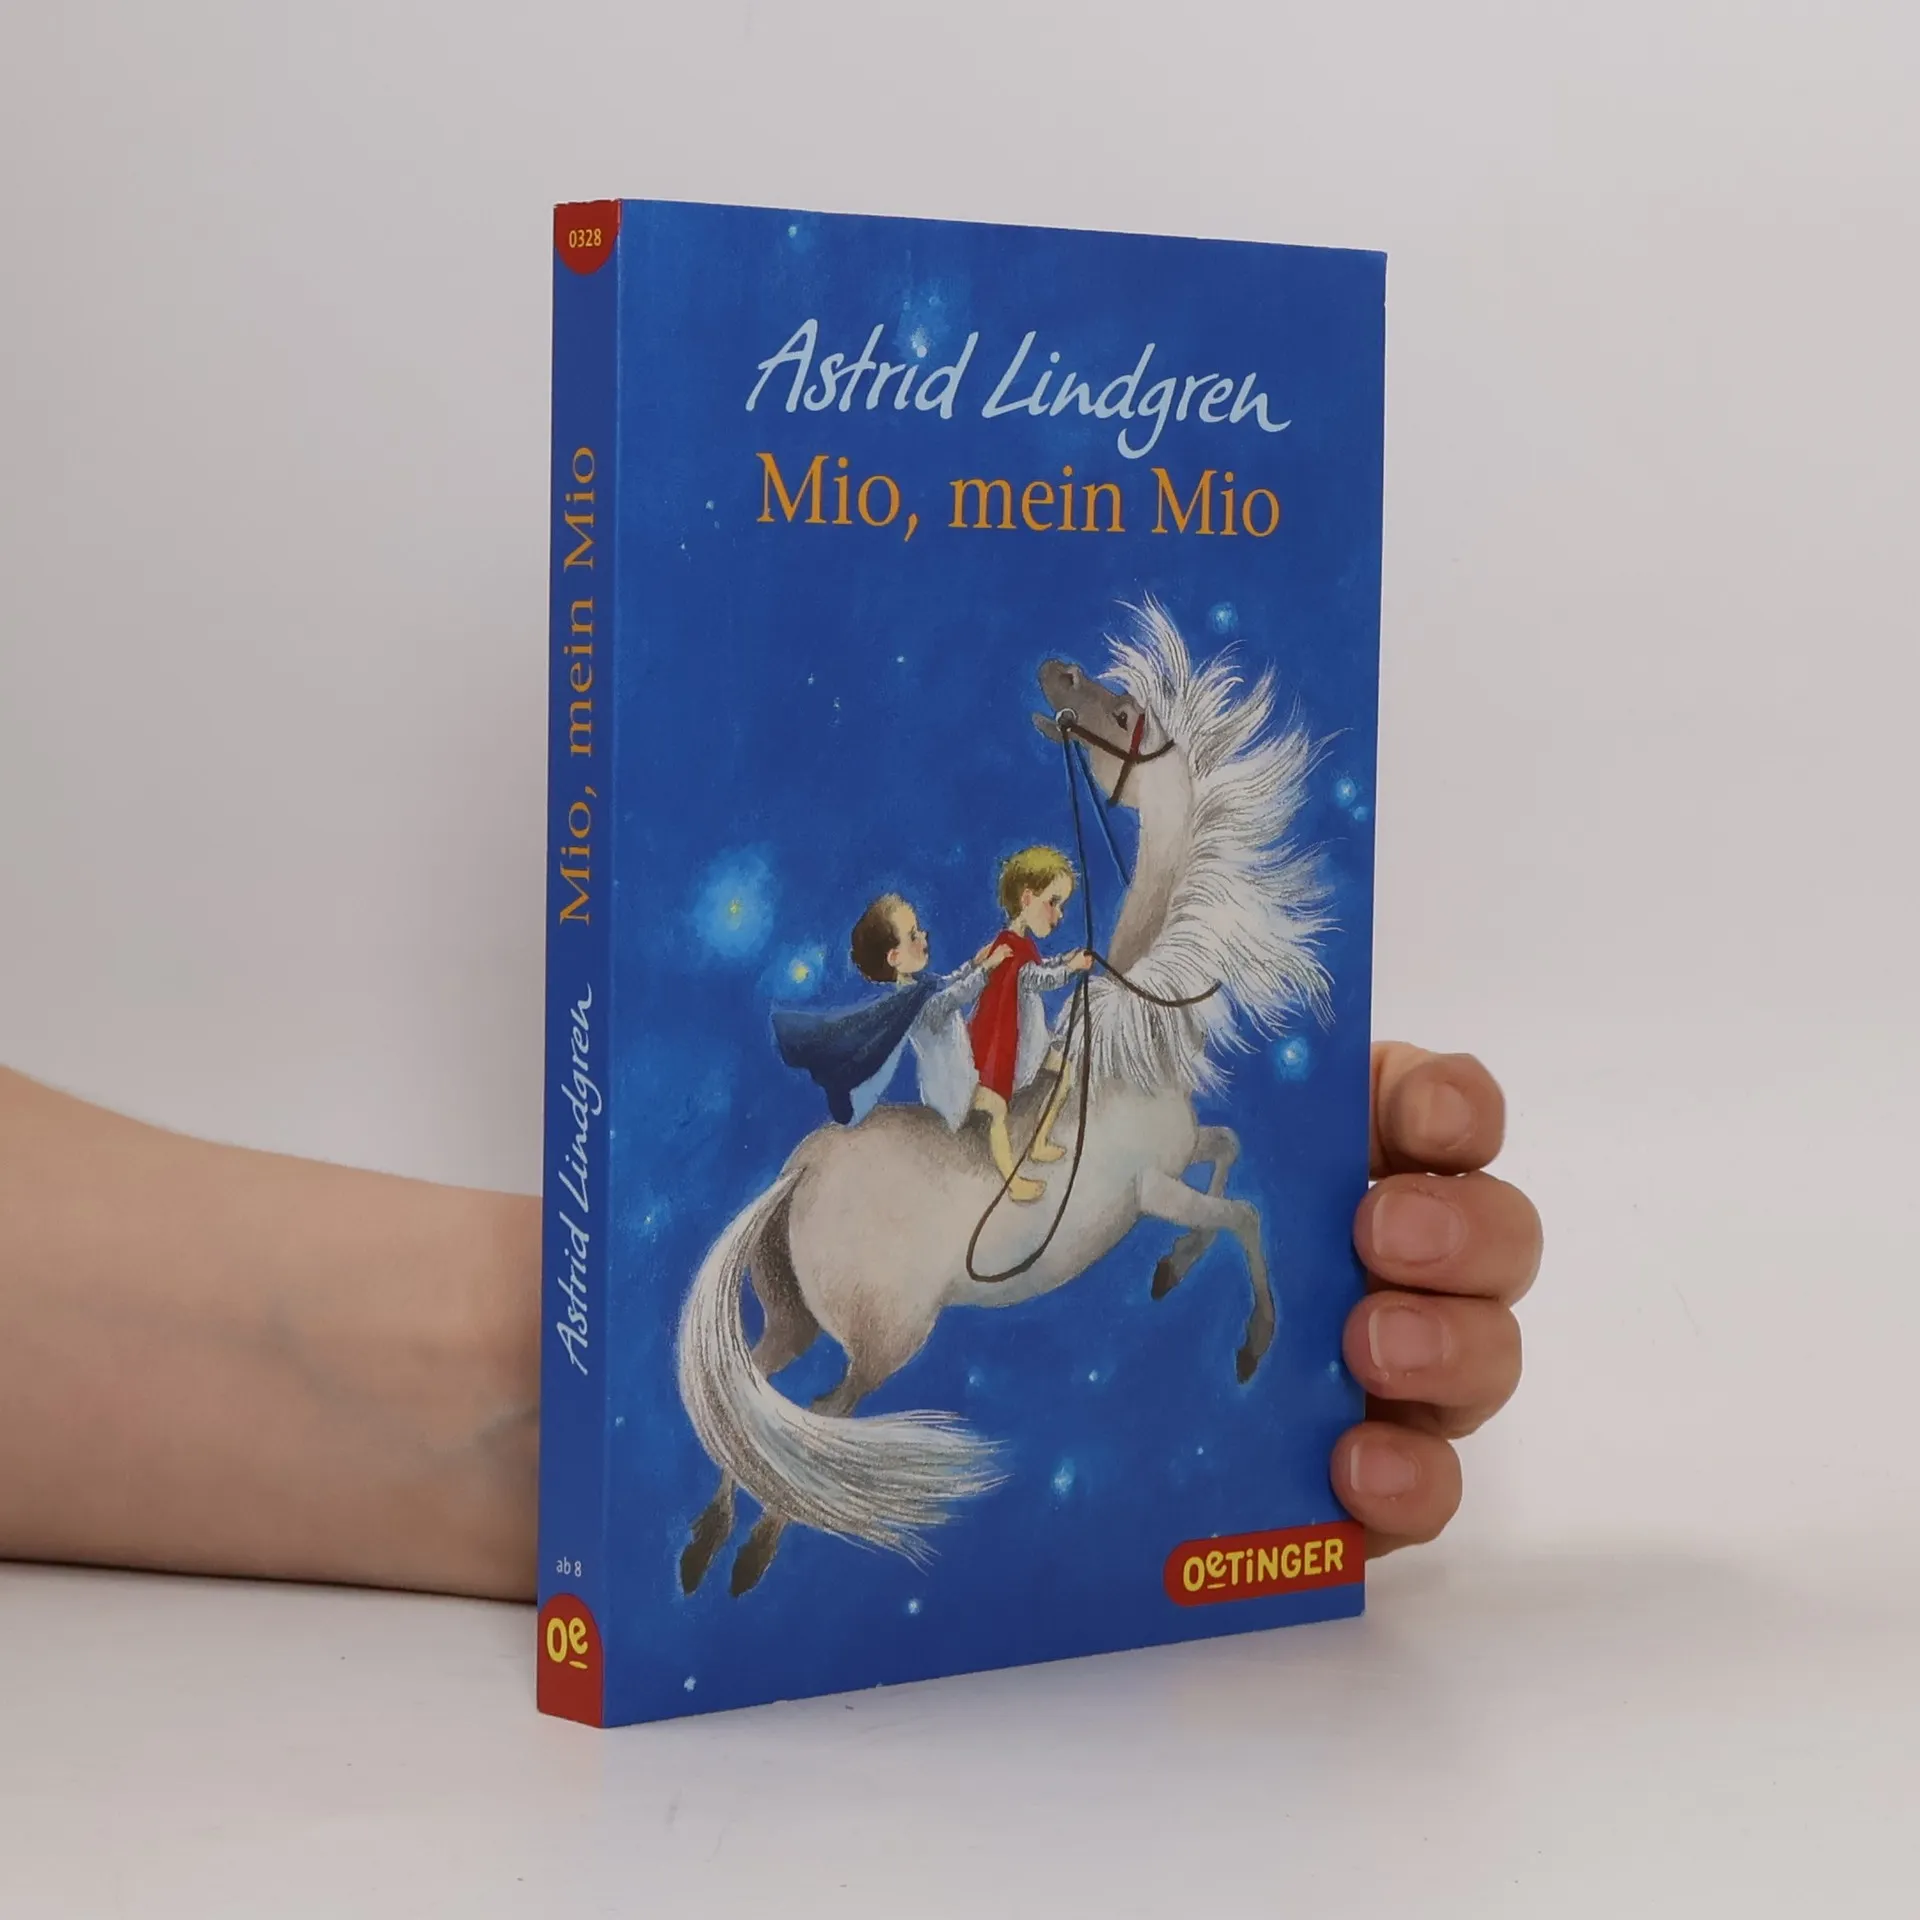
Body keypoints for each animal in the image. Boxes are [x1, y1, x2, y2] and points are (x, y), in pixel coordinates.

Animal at [675, 601, 1332, 1597]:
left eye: (1123, 707)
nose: (1056, 670)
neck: (1121, 1045)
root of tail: (798, 1177)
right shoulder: (1153, 1187)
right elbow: (1247, 1214)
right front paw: (1255, 1343)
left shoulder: (1176, 1166)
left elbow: (1226, 1156)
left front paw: (1172, 1269)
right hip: (885, 1342)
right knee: (819, 1416)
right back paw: (757, 1549)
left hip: (793, 1321)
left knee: (752, 1397)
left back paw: (708, 1544)